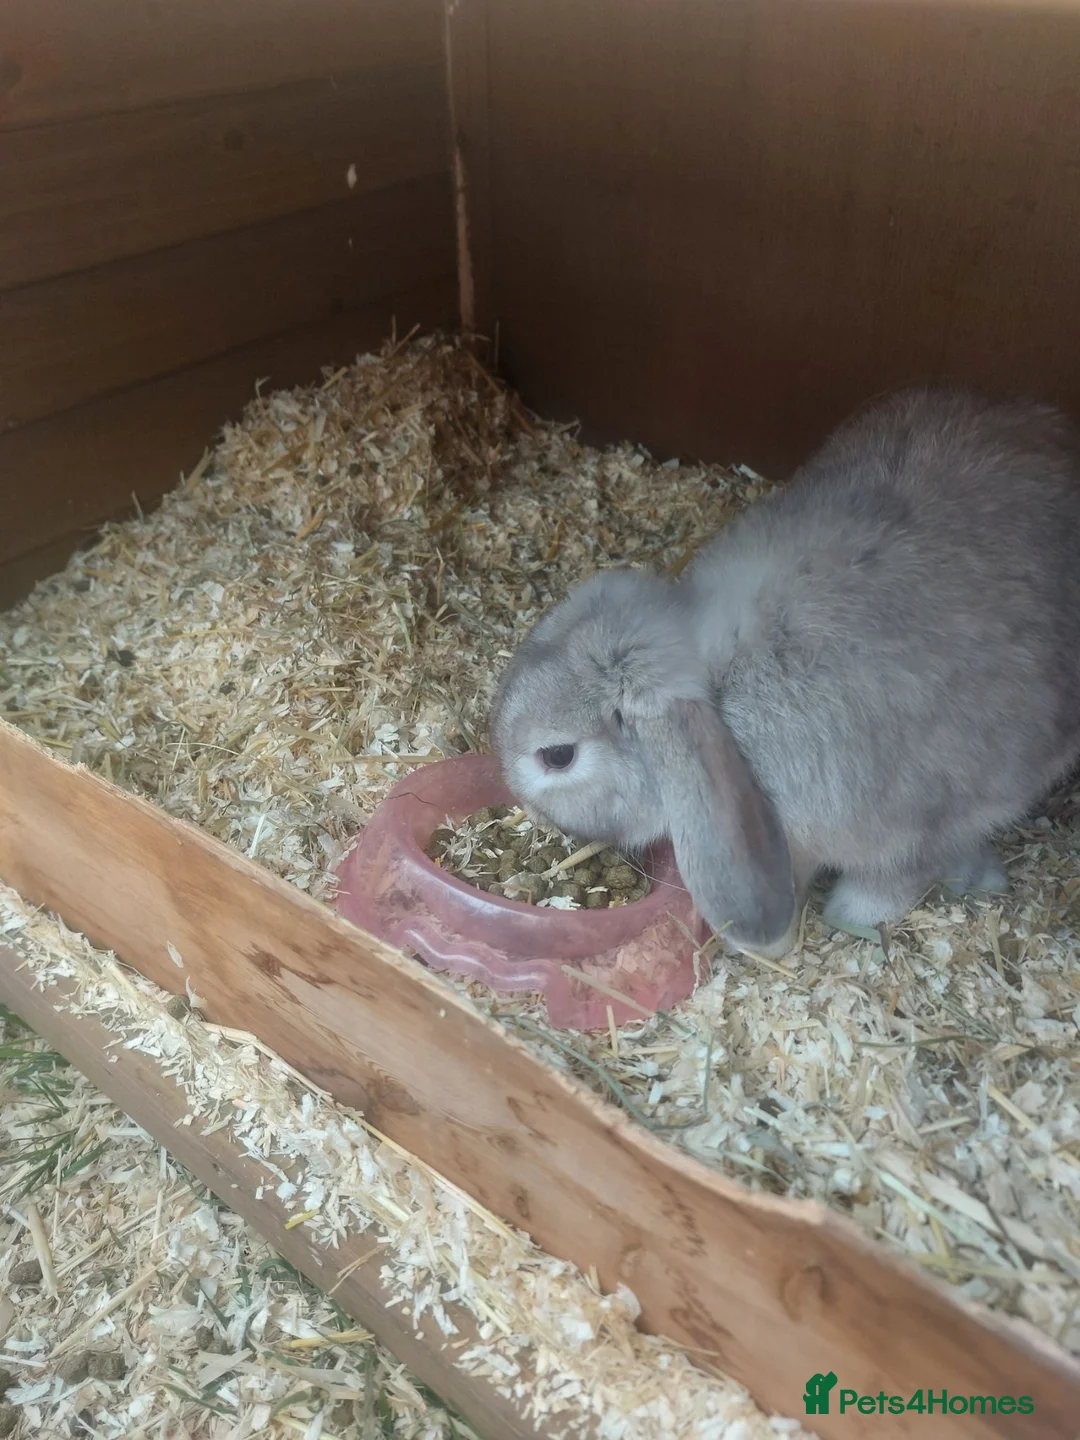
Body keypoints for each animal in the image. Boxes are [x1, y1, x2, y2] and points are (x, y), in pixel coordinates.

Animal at [490, 388, 1080, 959]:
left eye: (557, 756)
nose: (526, 806)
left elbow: (889, 882)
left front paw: (830, 924)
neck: (722, 693)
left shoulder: (915, 829)